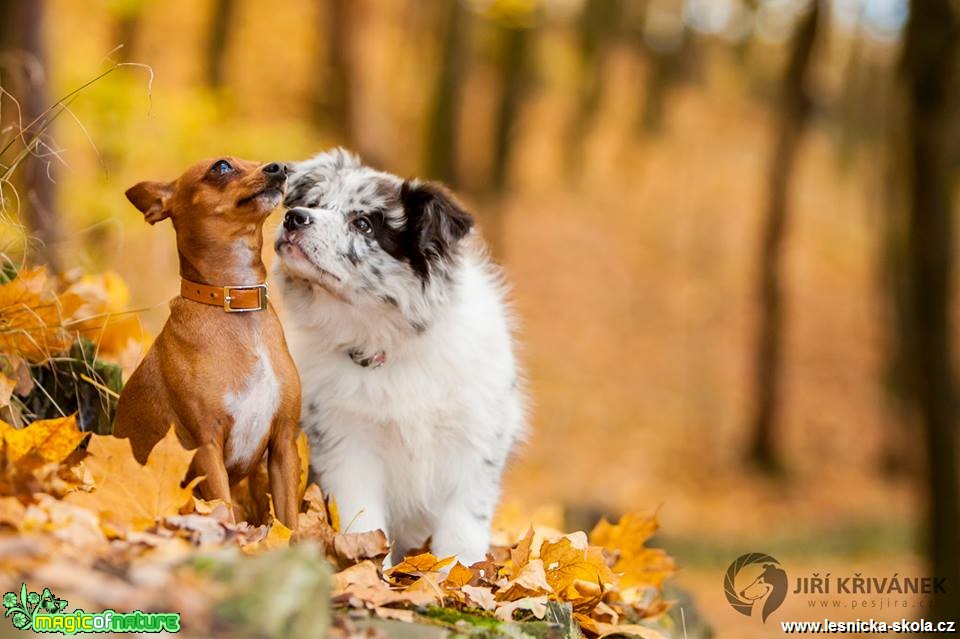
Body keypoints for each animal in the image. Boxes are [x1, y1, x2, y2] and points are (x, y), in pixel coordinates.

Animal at [116, 158, 304, 528]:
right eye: (222, 166)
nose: (279, 167)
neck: (236, 301)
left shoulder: (283, 444)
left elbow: (289, 521)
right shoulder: (205, 447)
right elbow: (224, 512)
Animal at [270, 148, 524, 564]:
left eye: (364, 224)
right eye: (314, 204)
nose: (295, 218)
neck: (390, 345)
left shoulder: (474, 442)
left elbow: (462, 528)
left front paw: (460, 571)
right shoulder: (347, 442)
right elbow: (363, 519)